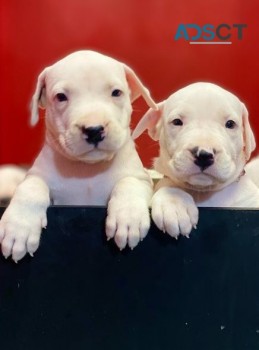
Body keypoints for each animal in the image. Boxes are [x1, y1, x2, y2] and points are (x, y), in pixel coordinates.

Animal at [0, 50, 157, 262]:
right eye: (61, 97)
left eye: (116, 93)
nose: (94, 130)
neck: (87, 170)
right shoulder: (37, 176)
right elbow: (30, 187)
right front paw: (19, 226)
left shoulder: (141, 178)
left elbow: (129, 182)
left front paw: (128, 217)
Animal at [134, 82, 259, 239]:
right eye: (177, 122)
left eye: (230, 124)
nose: (204, 155)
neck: (203, 193)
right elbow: (168, 184)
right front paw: (175, 204)